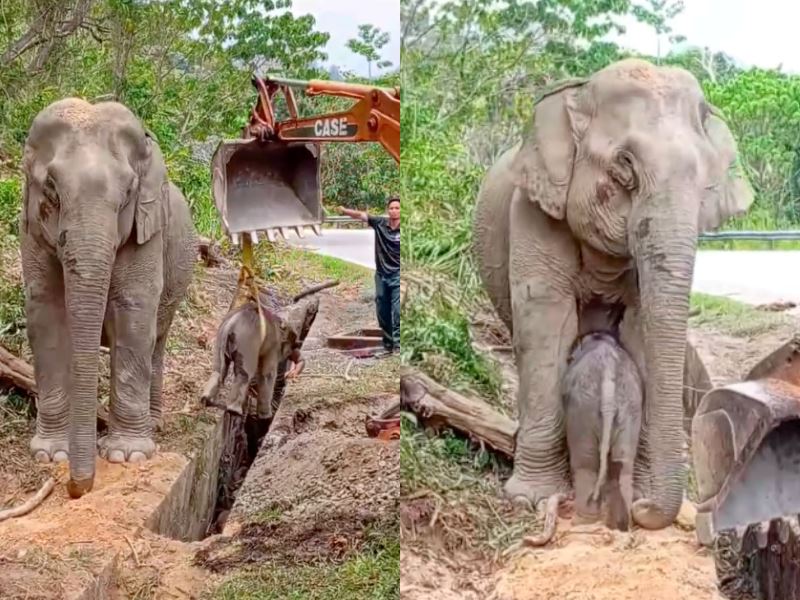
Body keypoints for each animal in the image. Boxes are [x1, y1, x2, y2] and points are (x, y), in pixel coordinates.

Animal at [20, 97, 197, 498]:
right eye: (51, 188)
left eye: (129, 192)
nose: (77, 488)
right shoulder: (31, 230)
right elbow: (46, 313)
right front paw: (51, 455)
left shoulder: (147, 230)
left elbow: (134, 311)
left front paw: (126, 455)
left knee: (157, 340)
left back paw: (154, 425)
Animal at [473, 58, 754, 529]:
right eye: (625, 165)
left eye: (705, 182)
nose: (645, 510)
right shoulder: (534, 211)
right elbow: (546, 323)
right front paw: (531, 498)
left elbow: (641, 330)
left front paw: (636, 493)